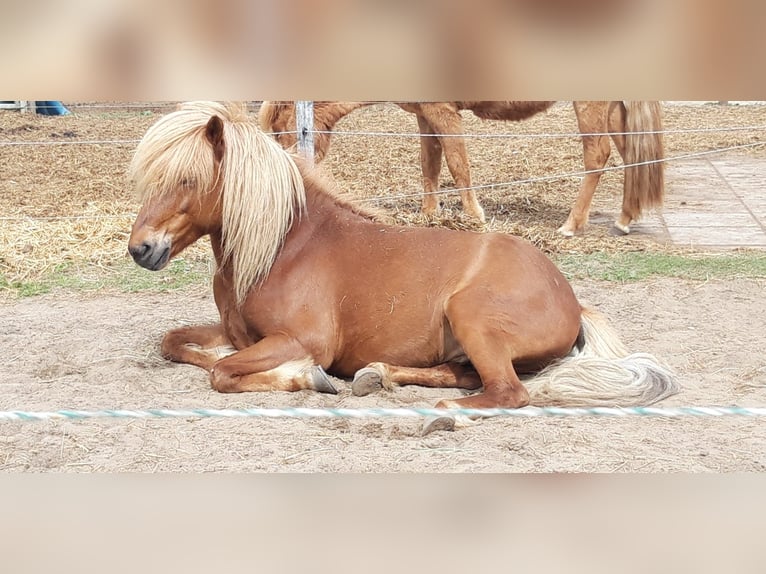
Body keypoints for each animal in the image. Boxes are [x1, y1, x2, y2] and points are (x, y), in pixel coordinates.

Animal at [260, 101, 664, 236]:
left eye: (279, 133)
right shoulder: (425, 115)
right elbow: (429, 164)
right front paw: (428, 214)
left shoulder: (443, 113)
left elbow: (457, 165)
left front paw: (474, 217)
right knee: (633, 155)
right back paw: (624, 219)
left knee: (597, 157)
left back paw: (571, 224)